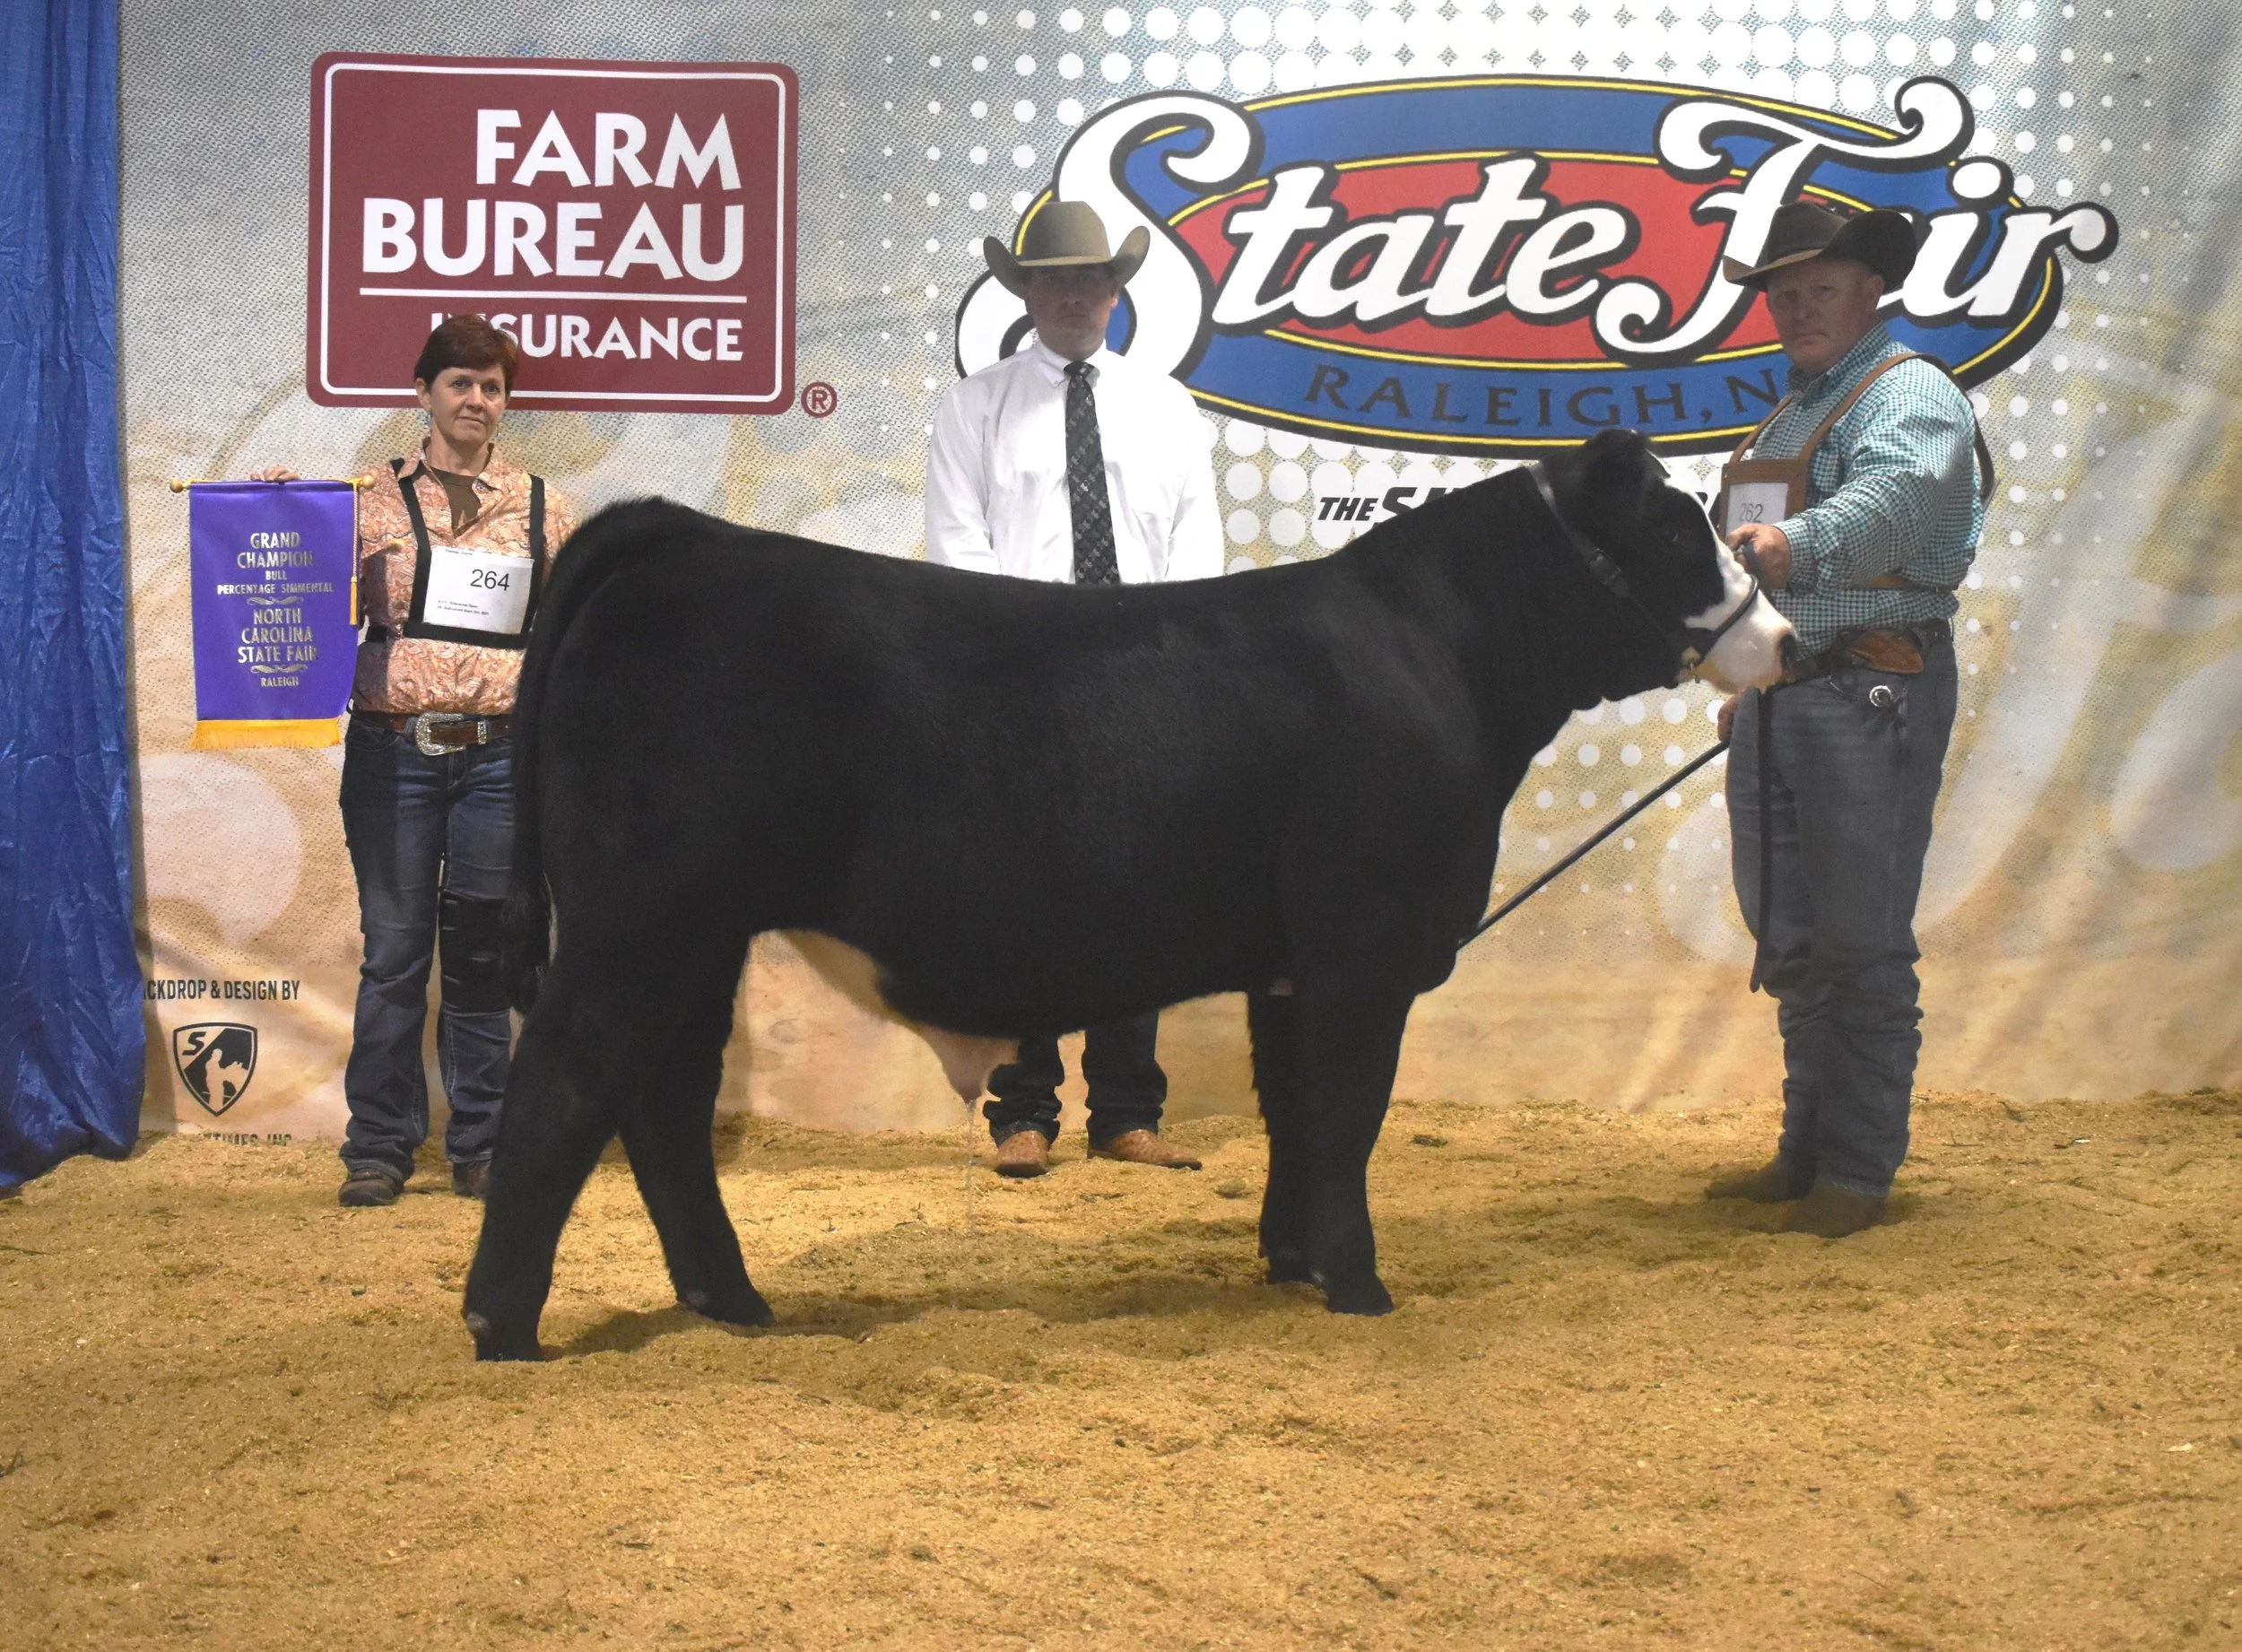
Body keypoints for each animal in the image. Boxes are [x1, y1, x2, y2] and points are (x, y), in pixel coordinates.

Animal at [460, 428, 1792, 1360]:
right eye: (1679, 528)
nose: (1781, 639)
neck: (1440, 654)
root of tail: (684, 536)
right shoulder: (1364, 946)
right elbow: (1348, 1112)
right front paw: (1362, 1288)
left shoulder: (1292, 963)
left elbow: (1297, 1111)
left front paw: (1296, 1263)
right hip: (643, 920)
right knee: (565, 1085)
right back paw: (504, 1327)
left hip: (697, 933)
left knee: (665, 1101)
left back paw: (731, 1300)